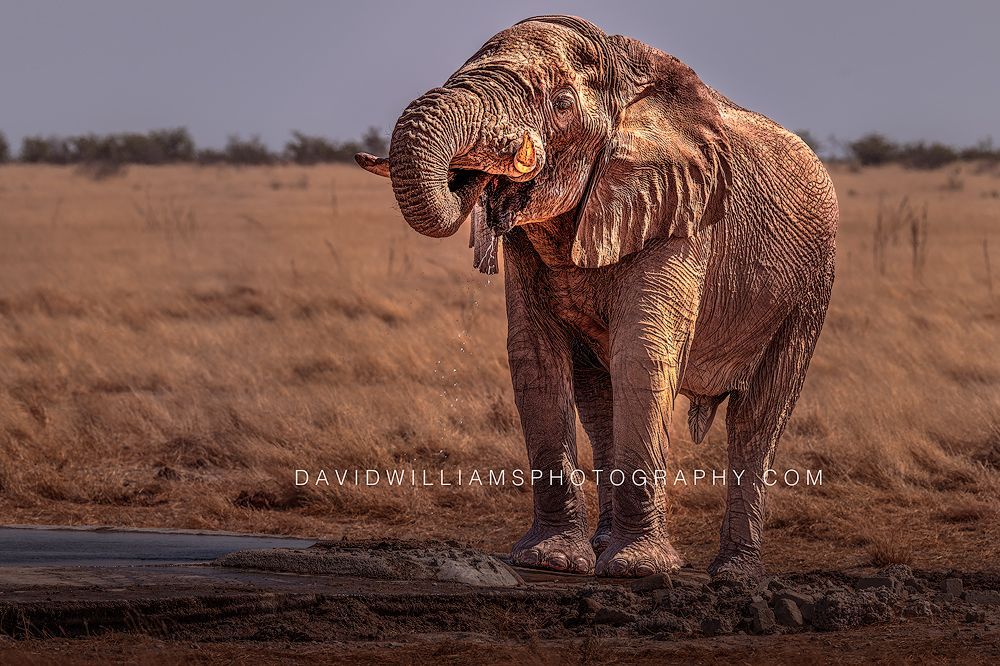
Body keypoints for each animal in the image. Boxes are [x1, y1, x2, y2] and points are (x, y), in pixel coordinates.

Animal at [355, 15, 838, 581]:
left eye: (562, 102)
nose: (472, 180)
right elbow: (534, 357)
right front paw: (553, 561)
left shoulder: (682, 214)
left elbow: (644, 354)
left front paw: (637, 570)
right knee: (601, 404)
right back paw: (612, 546)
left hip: (809, 290)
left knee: (758, 418)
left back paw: (733, 574)